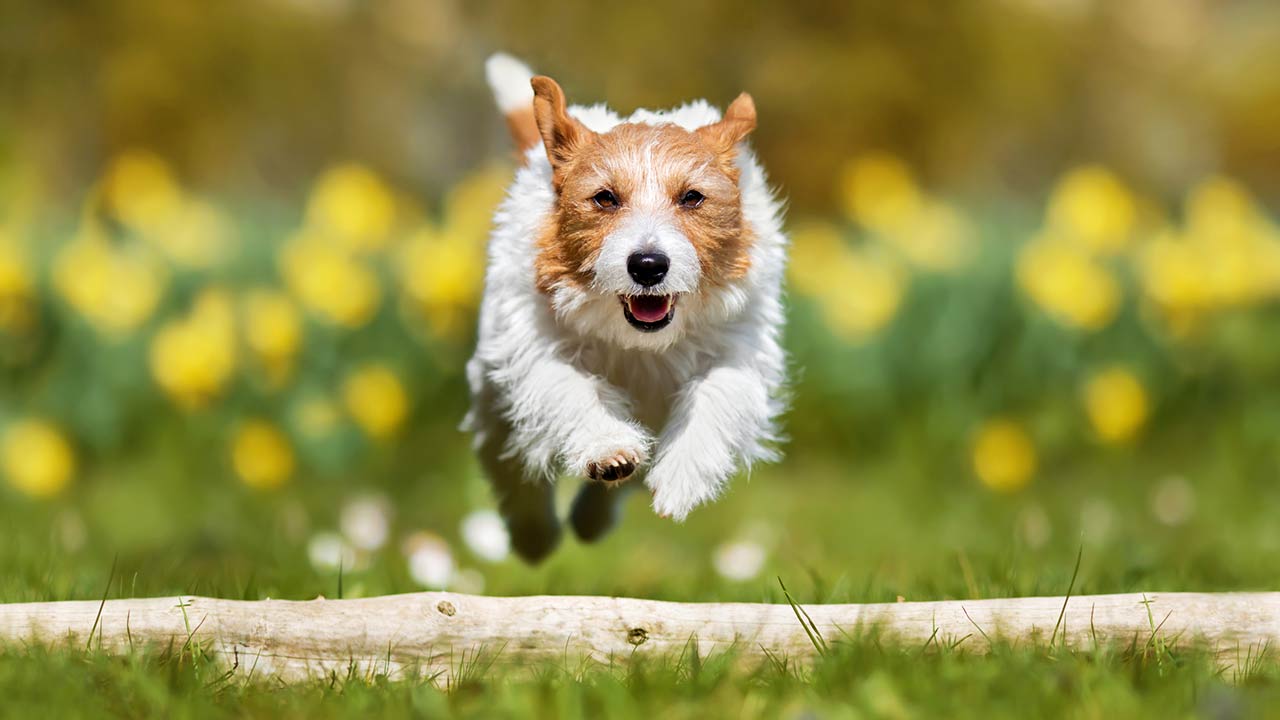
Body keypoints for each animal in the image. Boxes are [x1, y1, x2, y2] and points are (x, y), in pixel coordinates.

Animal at [468, 56, 788, 561]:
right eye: (604, 197)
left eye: (692, 197)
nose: (648, 265)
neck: (638, 344)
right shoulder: (535, 350)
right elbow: (568, 388)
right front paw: (607, 450)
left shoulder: (741, 351)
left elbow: (715, 392)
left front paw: (680, 478)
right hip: (491, 396)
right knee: (510, 462)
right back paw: (534, 533)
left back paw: (591, 519)